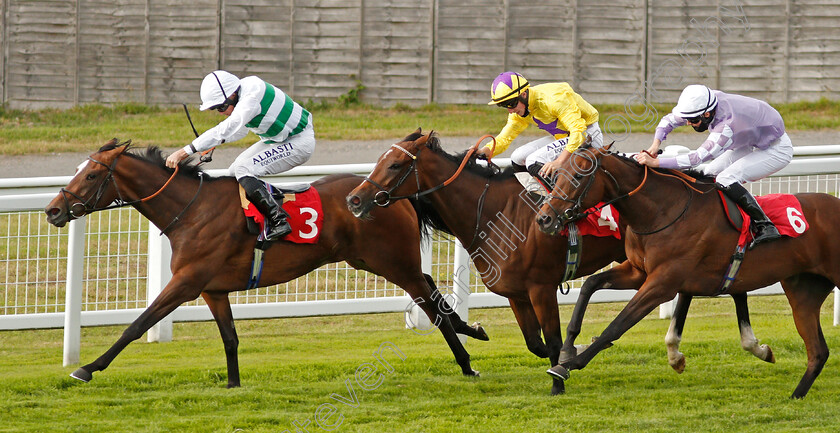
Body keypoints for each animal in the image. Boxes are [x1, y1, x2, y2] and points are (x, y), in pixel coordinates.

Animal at [42, 138, 486, 384]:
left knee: (430, 302)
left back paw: (466, 363)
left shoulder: (186, 282)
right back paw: (472, 330)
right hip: (375, 260)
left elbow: (137, 324)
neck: (191, 209)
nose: (52, 210)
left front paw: (86, 368)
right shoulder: (213, 289)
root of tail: (384, 193)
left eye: (91, 176)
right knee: (431, 287)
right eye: (78, 170)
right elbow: (230, 339)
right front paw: (233, 385)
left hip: (392, 261)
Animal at [342, 130, 776, 394]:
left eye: (395, 165)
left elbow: (550, 341)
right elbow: (535, 343)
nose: (354, 200)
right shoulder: (515, 292)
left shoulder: (540, 285)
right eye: (379, 160)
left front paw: (560, 378)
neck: (494, 213)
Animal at [540, 140, 840, 396]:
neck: (662, 212)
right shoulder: (639, 272)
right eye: (557, 174)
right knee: (818, 351)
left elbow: (616, 326)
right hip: (804, 291)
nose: (545, 218)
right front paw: (568, 348)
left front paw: (567, 366)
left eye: (578, 177)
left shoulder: (662, 284)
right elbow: (591, 285)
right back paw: (796, 395)